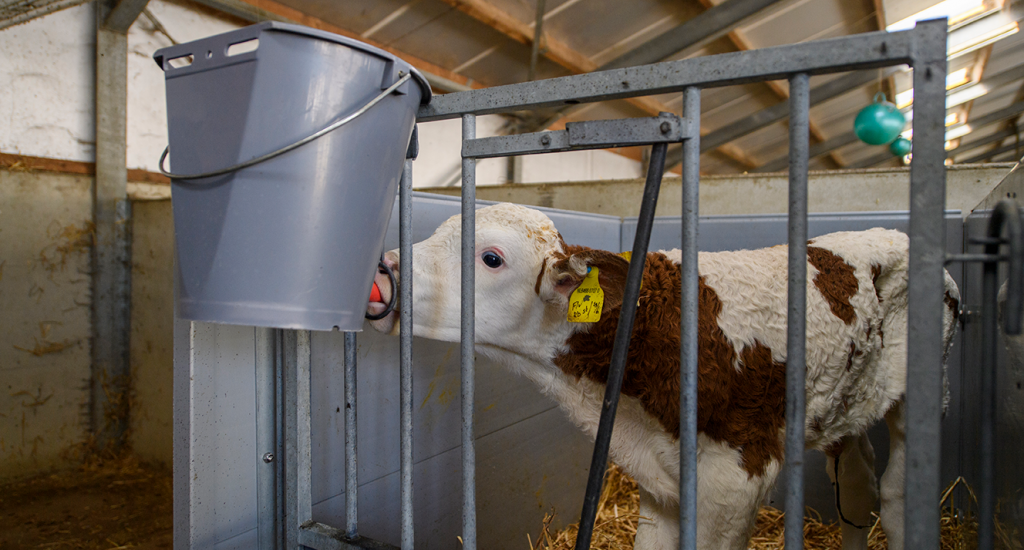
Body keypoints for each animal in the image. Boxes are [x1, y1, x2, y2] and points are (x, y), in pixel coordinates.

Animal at [368, 201, 958, 548]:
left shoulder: (736, 477)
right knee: (855, 486)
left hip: (926, 386)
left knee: (898, 492)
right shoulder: (657, 476)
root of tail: (894, 232)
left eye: (491, 258)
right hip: (844, 397)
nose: (385, 270)